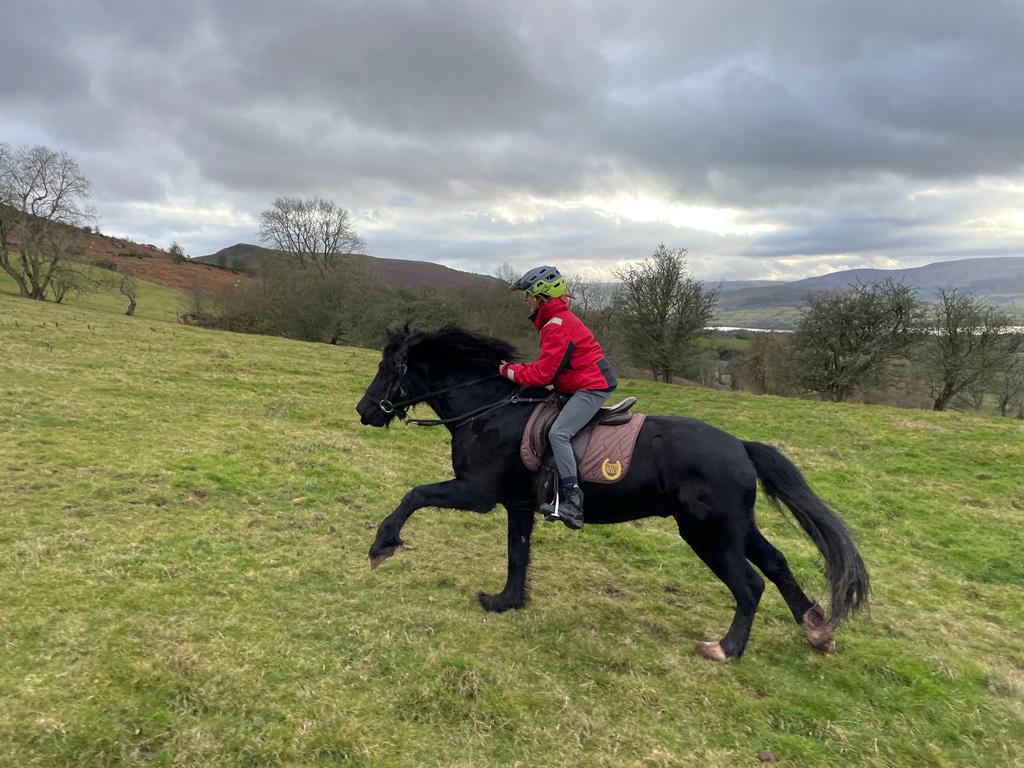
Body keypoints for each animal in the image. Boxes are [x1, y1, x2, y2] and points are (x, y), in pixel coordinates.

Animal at [356, 325, 868, 663]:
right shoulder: (518, 505)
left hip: (709, 534)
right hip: (736, 527)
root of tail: (739, 446)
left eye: (388, 367)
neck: (488, 410)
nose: (364, 411)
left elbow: (414, 495)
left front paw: (382, 546)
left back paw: (726, 649)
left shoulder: (475, 492)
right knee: (777, 565)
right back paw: (816, 631)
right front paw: (506, 602)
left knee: (750, 585)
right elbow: (517, 555)